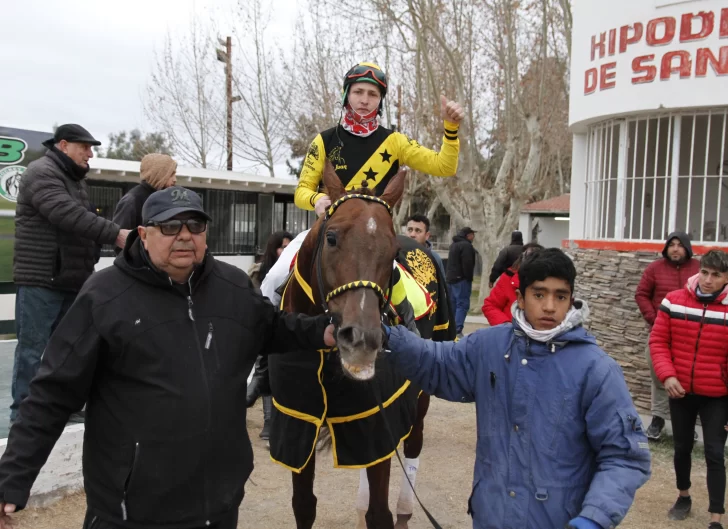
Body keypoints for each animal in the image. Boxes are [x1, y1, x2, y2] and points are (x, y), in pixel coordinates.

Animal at [268, 161, 436, 528]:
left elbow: (380, 514)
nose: (362, 339)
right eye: (331, 238)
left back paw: (405, 509)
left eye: (393, 251)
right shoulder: (300, 421)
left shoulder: (376, 418)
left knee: (414, 447)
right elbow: (304, 504)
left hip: (420, 399)